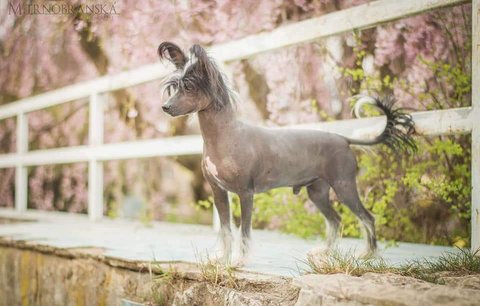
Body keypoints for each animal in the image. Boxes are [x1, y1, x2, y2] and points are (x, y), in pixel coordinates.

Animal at [158, 41, 416, 266]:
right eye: (174, 86)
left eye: (189, 87)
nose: (165, 107)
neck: (225, 136)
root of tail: (343, 139)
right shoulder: (219, 192)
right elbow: (225, 229)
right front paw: (222, 258)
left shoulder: (245, 193)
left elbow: (244, 230)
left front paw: (239, 260)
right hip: (317, 192)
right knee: (335, 220)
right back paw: (323, 252)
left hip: (344, 186)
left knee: (367, 217)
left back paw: (367, 254)